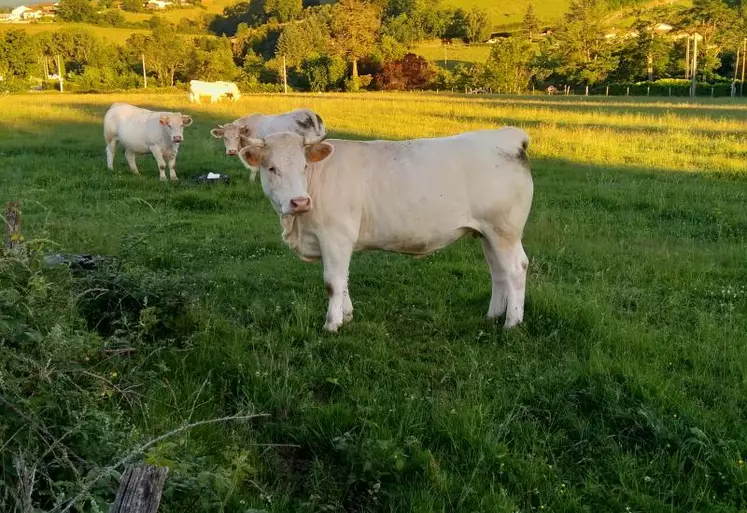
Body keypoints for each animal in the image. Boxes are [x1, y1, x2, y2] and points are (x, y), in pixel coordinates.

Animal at [237, 126, 536, 330]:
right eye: (271, 168)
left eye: (303, 165)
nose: (299, 201)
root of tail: (506, 136)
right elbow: (344, 281)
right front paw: (347, 315)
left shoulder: (336, 237)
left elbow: (333, 282)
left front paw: (332, 324)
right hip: (488, 233)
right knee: (497, 271)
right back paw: (493, 315)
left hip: (504, 230)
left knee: (515, 268)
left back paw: (512, 322)